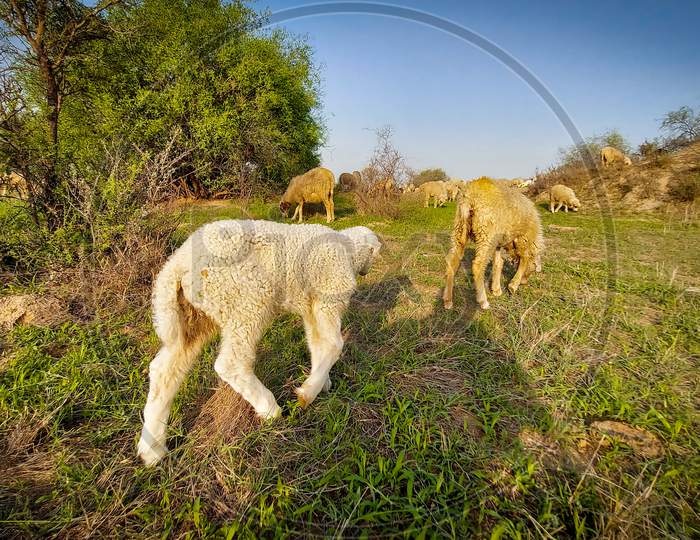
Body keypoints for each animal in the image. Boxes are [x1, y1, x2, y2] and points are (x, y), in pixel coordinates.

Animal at [138, 219, 381, 466]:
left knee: (165, 371)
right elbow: (333, 345)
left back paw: (152, 449)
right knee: (230, 363)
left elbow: (317, 344)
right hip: (247, 301)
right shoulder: (328, 297)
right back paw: (269, 408)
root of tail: (176, 266)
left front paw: (321, 382)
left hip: (193, 318)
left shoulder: (311, 306)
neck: (348, 248)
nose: (368, 270)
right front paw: (307, 394)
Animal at [443, 177, 543, 310]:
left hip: (459, 229)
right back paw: (483, 301)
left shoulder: (498, 243)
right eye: (533, 270)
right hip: (486, 234)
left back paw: (448, 300)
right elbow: (524, 259)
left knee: (452, 262)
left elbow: (498, 263)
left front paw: (496, 289)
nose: (524, 282)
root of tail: (470, 196)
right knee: (478, 265)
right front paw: (513, 285)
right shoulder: (523, 238)